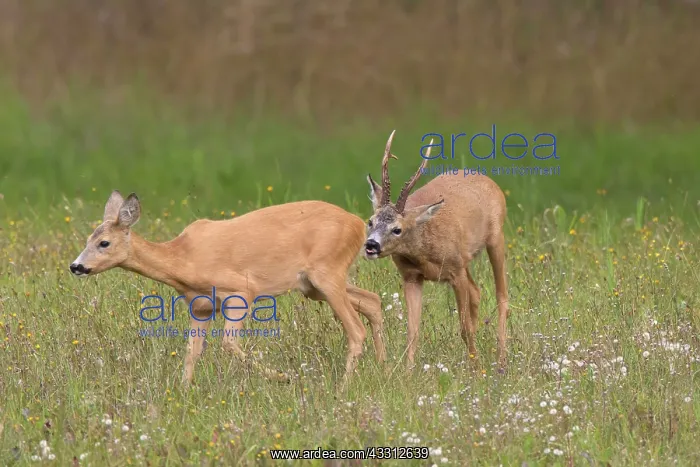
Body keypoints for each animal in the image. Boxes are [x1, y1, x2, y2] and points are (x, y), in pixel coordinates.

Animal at [69, 190, 387, 387]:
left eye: (104, 243)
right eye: (87, 239)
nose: (76, 266)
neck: (184, 260)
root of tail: (360, 224)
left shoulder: (241, 290)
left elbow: (228, 343)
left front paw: (285, 377)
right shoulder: (200, 306)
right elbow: (192, 351)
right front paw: (183, 391)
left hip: (326, 273)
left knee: (356, 329)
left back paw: (343, 388)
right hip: (314, 285)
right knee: (373, 301)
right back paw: (384, 367)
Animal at [364, 130, 510, 371]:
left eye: (397, 229)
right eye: (370, 221)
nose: (371, 245)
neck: (423, 253)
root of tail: (489, 180)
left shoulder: (456, 272)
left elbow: (464, 328)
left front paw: (477, 370)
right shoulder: (411, 276)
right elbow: (412, 331)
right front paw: (408, 373)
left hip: (496, 237)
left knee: (502, 296)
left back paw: (501, 359)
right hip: (465, 259)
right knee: (477, 292)